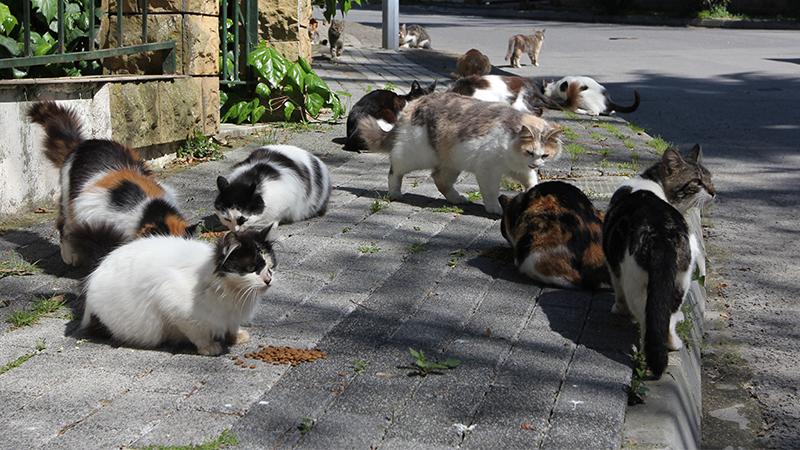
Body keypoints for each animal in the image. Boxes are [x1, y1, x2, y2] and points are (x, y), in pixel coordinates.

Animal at [81, 229, 276, 356]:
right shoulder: (174, 304)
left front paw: (235, 337)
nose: (268, 279)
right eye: (251, 269)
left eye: (270, 266)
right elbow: (198, 333)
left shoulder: (230, 315)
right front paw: (209, 347)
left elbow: (231, 326)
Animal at [356, 91, 564, 214]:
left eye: (544, 155)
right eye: (529, 152)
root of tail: (415, 102)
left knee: (439, 179)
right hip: (415, 154)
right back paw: (395, 192)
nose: (536, 164)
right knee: (395, 170)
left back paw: (457, 199)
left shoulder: (520, 169)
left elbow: (531, 181)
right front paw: (495, 209)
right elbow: (490, 192)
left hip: (452, 163)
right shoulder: (488, 170)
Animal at [604, 144, 716, 376]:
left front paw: (619, 309)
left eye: (710, 180)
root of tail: (662, 235)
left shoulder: (613, 264)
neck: (652, 182)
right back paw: (672, 344)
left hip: (636, 282)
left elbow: (617, 289)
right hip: (680, 280)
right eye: (698, 181)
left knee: (650, 319)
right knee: (667, 316)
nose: (713, 191)